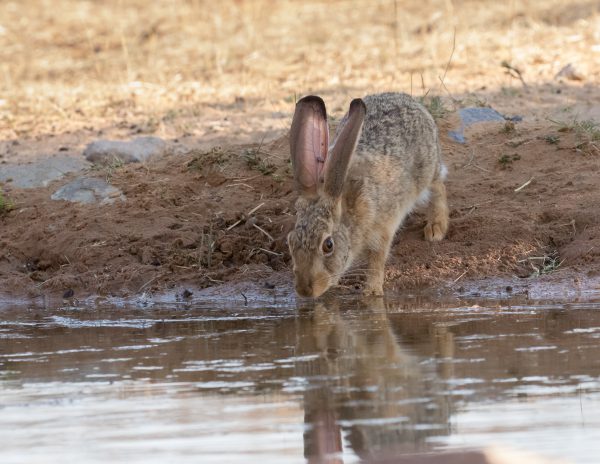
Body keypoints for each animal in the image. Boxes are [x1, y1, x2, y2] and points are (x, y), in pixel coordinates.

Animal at [288, 93, 450, 298]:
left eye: (328, 245)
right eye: (290, 241)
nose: (305, 291)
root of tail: (411, 101)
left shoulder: (382, 229)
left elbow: (376, 261)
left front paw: (372, 292)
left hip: (427, 169)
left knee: (438, 186)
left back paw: (436, 229)